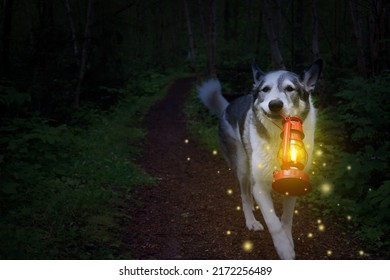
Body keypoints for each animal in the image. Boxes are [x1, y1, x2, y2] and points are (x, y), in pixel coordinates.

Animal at [198, 60, 322, 260]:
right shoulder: (260, 187)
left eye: (290, 88)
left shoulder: (294, 183)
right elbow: (273, 222)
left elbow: (286, 219)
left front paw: (288, 242)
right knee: (245, 195)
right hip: (242, 167)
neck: (280, 137)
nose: (275, 104)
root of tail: (227, 107)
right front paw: (284, 250)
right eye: (265, 89)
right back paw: (251, 220)